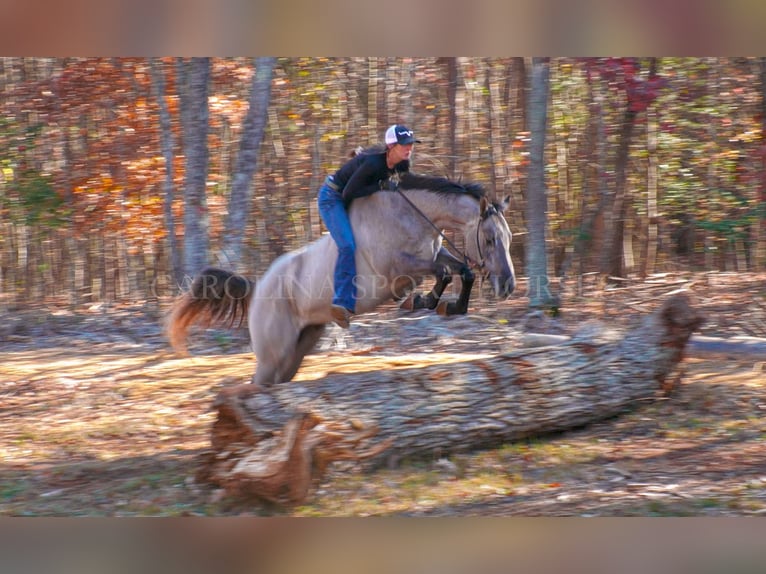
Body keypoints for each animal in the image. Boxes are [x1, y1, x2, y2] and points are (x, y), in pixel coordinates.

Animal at [167, 173, 516, 390]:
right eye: (488, 239)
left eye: (509, 237)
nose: (508, 286)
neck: (410, 215)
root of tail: (258, 287)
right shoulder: (398, 269)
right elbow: (443, 273)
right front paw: (423, 301)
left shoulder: (433, 255)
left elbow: (461, 271)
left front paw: (448, 306)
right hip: (272, 354)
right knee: (258, 384)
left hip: (297, 349)